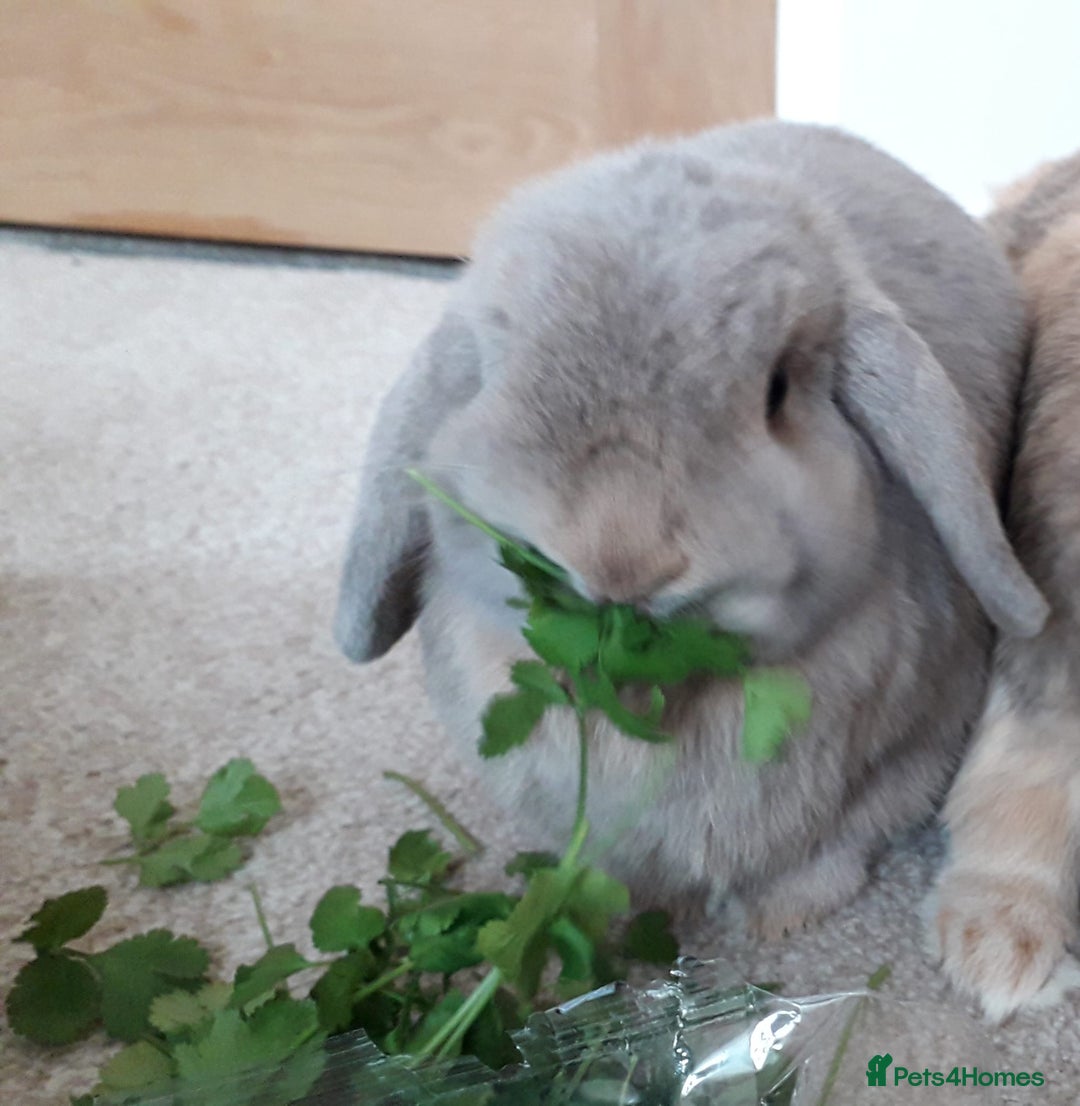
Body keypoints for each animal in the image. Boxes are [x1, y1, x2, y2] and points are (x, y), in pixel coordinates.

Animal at [335, 120, 1047, 938]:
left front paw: (781, 920)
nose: (620, 562)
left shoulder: (903, 763)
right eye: (493, 374)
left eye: (777, 390)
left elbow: (831, 850)